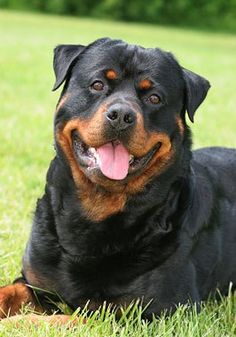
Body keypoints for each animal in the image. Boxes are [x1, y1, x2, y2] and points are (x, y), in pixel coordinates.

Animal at [0, 38, 236, 322]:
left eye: (154, 98)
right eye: (97, 85)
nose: (122, 115)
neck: (97, 209)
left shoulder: (155, 310)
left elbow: (67, 319)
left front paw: (18, 323)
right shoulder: (35, 282)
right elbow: (9, 291)